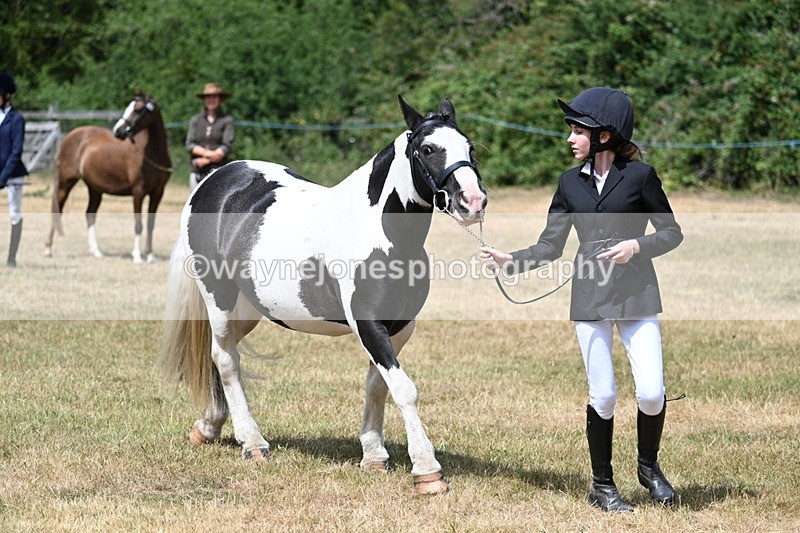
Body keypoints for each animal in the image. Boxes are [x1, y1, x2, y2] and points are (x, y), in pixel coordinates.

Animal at [44, 92, 172, 263]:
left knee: (90, 214)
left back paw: (96, 252)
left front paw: (150, 256)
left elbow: (151, 224)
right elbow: (138, 224)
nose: (118, 131)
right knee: (58, 211)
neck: (151, 155)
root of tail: (68, 137)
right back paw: (48, 249)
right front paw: (137, 256)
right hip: (66, 183)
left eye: (138, 110)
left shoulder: (158, 193)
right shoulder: (138, 192)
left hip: (94, 189)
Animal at [161, 96, 487, 494]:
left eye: (470, 148)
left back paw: (209, 426)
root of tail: (215, 179)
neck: (378, 232)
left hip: (248, 309)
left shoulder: (398, 327)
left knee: (221, 355)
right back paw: (252, 442)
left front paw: (373, 456)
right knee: (225, 360)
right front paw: (427, 470)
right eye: (427, 149)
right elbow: (404, 389)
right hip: (218, 299)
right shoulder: (368, 324)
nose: (473, 201)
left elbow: (377, 386)